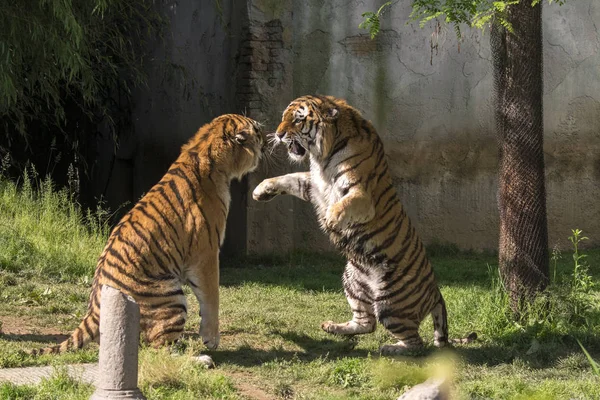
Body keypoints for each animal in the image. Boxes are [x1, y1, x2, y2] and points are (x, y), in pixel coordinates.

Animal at [29, 113, 264, 362]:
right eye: (257, 130)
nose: (267, 133)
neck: (204, 149)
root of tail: (94, 311)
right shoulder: (206, 254)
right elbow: (212, 296)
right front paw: (211, 338)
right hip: (171, 297)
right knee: (158, 352)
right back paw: (201, 360)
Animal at [251, 94, 476, 354]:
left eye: (298, 120)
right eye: (283, 118)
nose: (277, 135)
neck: (323, 156)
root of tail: (436, 292)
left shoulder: (360, 194)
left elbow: (341, 205)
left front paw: (331, 220)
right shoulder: (315, 185)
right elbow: (290, 178)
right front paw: (261, 190)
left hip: (391, 304)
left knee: (416, 343)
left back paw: (390, 348)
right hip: (353, 282)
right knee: (366, 323)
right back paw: (333, 327)